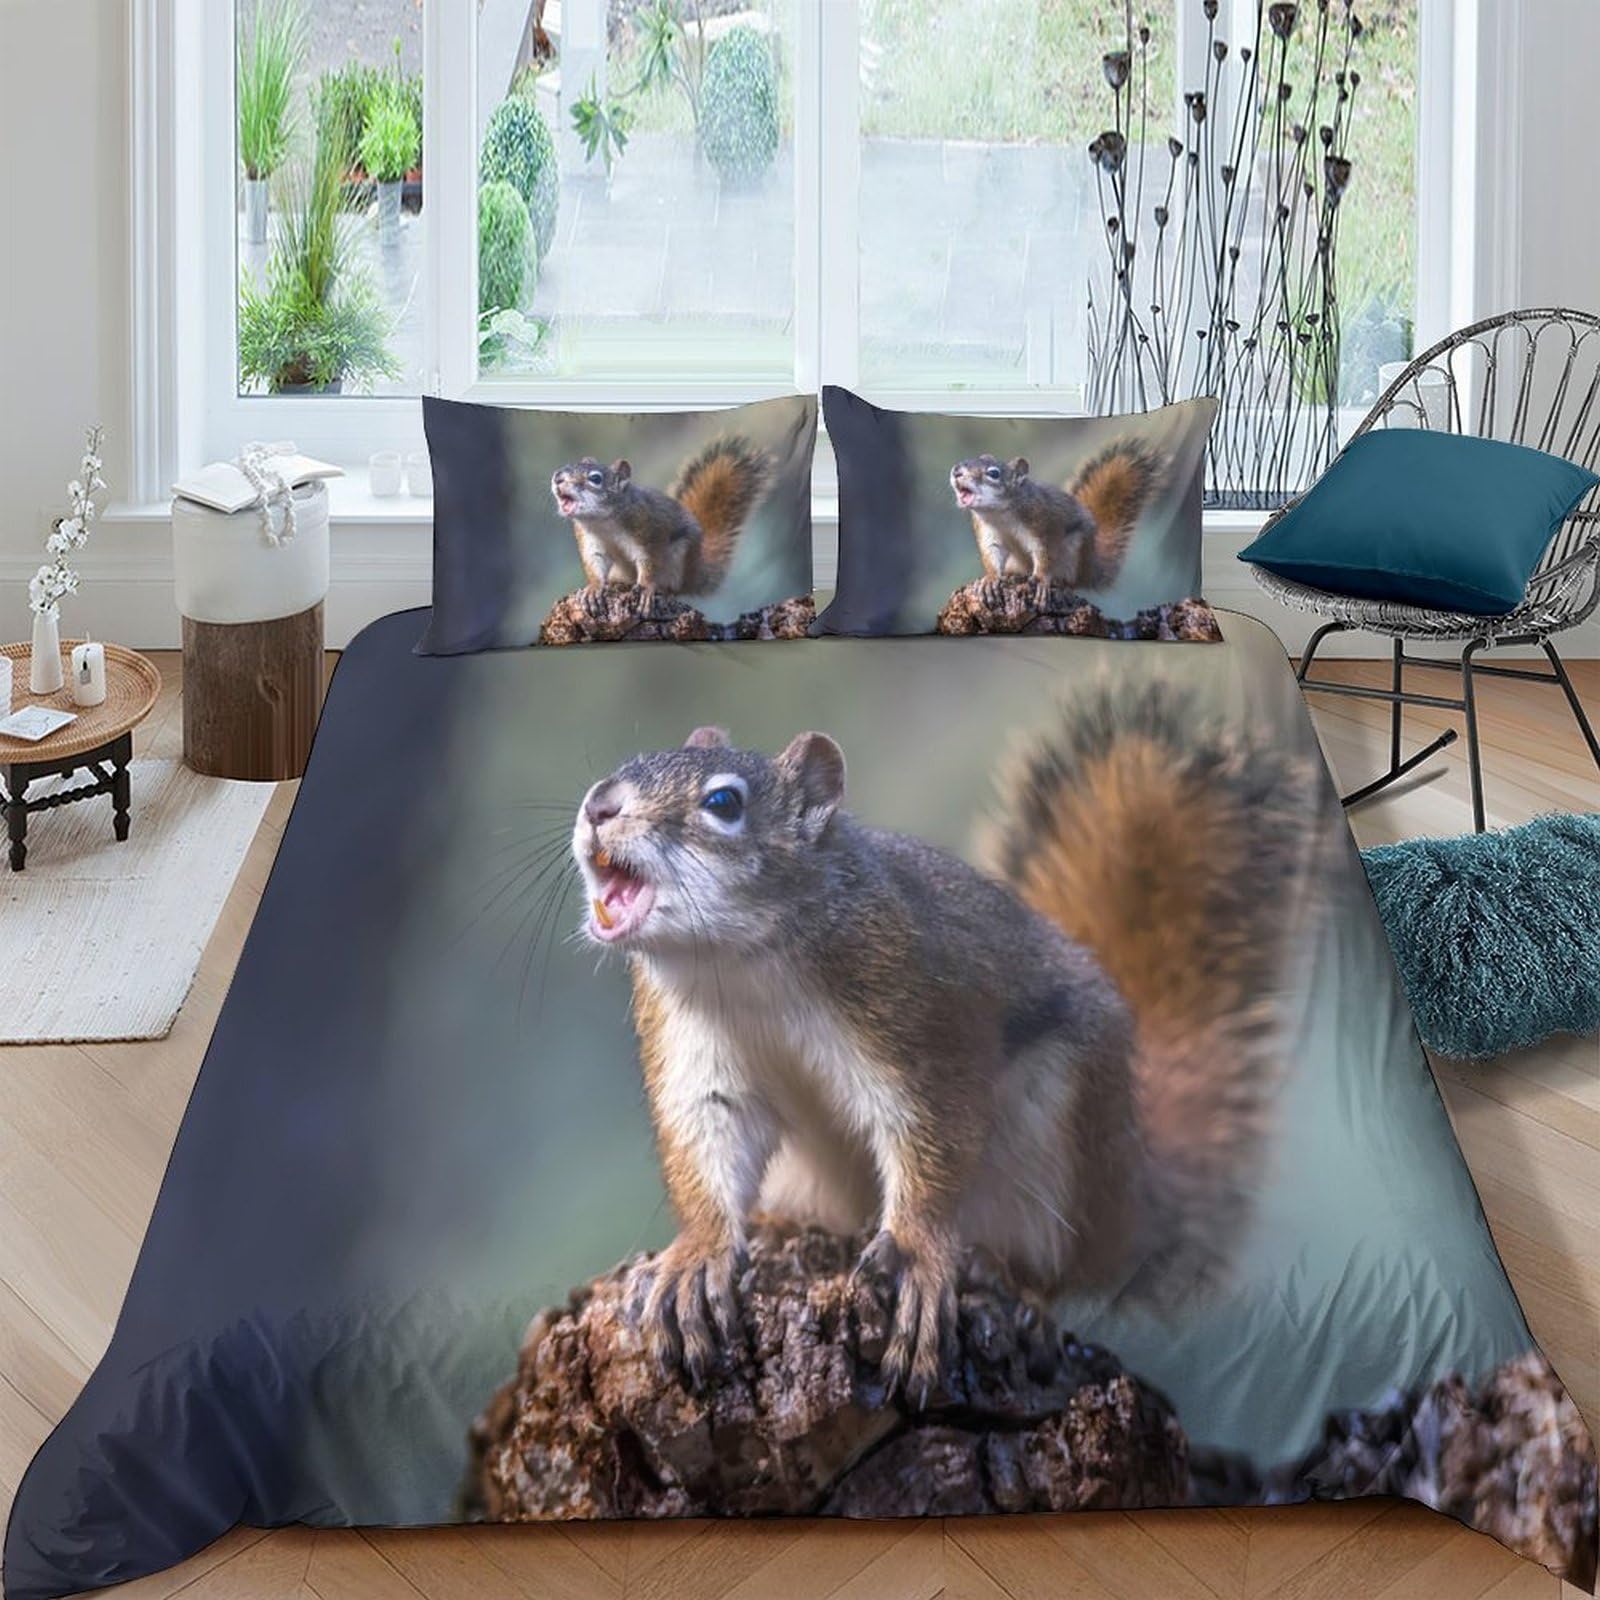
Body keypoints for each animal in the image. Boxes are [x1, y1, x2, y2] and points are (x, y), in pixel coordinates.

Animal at [550, 437, 770, 597]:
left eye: (595, 478)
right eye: (565, 468)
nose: (557, 477)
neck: (603, 521)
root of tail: (694, 576)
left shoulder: (649, 530)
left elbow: (649, 560)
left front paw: (646, 587)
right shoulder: (588, 539)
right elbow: (594, 562)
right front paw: (595, 588)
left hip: (679, 557)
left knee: (674, 588)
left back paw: (664, 589)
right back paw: (614, 584)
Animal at [570, 684, 1317, 1399]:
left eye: (724, 802)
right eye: (631, 762)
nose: (599, 805)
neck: (741, 961)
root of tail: (1134, 1211)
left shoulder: (925, 1021)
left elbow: (934, 1132)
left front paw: (915, 1251)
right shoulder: (694, 1052)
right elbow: (707, 1137)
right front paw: (697, 1255)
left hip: (1061, 1134)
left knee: (1062, 1268)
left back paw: (1012, 1283)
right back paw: (783, 1231)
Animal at [949, 440, 1167, 595]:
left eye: (993, 473)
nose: (956, 471)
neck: (1000, 513)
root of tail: (1089, 569)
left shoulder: (1045, 524)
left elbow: (1045, 552)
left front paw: (1040, 579)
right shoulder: (987, 532)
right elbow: (991, 553)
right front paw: (991, 579)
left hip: (1074, 552)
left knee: (1073, 582)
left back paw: (1060, 582)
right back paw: (1011, 577)